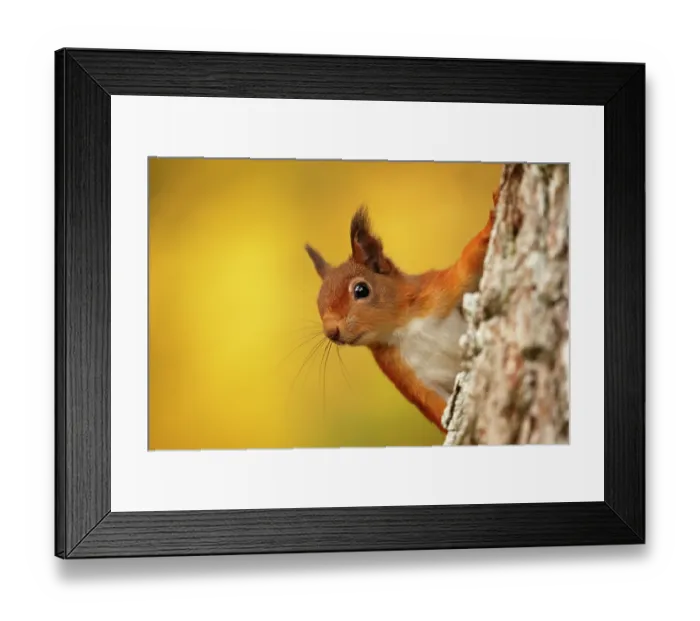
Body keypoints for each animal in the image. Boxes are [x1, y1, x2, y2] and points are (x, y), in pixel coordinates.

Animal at [304, 189, 499, 434]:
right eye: (318, 303)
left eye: (361, 289)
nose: (331, 332)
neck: (403, 327)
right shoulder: (406, 376)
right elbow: (434, 405)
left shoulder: (440, 291)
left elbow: (467, 262)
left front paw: (494, 213)